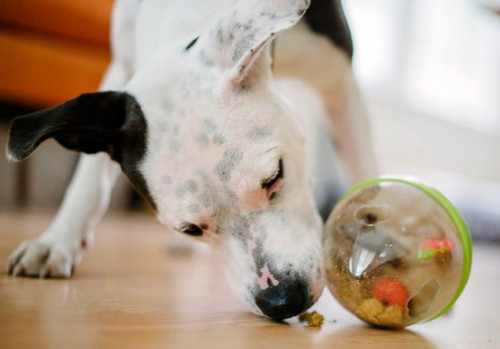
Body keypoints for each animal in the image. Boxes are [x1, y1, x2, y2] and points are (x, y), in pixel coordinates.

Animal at [4, 0, 376, 318]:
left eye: (274, 177)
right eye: (190, 229)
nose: (282, 300)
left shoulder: (339, 80)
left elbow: (364, 169)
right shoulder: (121, 74)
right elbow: (89, 177)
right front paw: (56, 241)